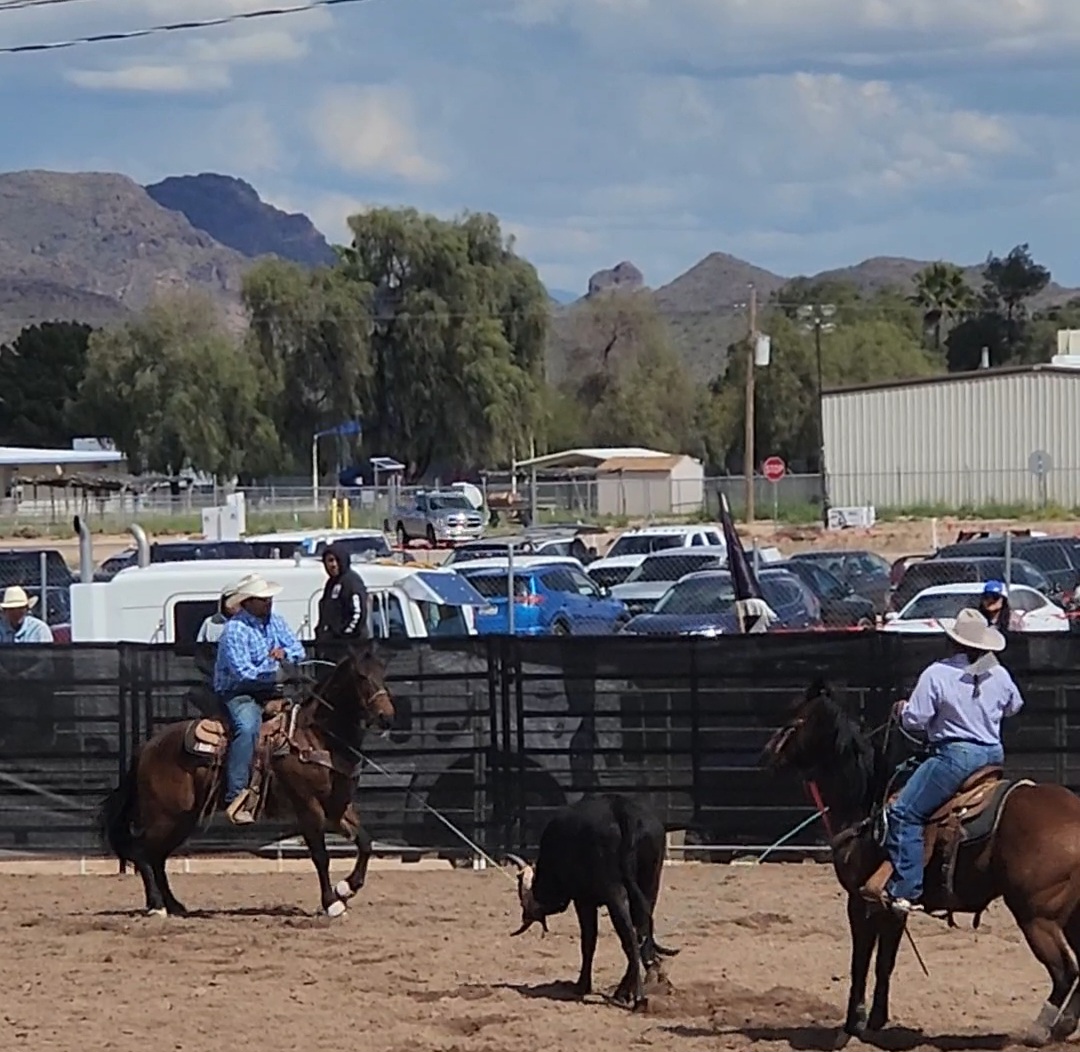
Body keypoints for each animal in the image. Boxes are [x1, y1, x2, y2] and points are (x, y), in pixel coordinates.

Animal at [99, 652, 395, 924]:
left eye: (383, 674)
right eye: (361, 677)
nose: (387, 717)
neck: (316, 737)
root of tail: (146, 748)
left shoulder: (337, 807)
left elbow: (365, 842)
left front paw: (346, 888)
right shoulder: (308, 807)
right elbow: (320, 856)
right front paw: (332, 903)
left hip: (182, 819)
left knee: (156, 857)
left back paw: (174, 906)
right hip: (165, 816)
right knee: (143, 852)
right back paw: (157, 906)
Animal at [760, 678, 1080, 1049]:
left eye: (794, 721)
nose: (766, 755)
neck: (867, 803)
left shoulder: (858, 901)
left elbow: (860, 962)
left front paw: (851, 1027)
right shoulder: (890, 906)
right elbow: (885, 962)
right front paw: (875, 1021)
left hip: (1036, 916)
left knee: (1064, 971)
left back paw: (1041, 1030)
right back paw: (1064, 1025)